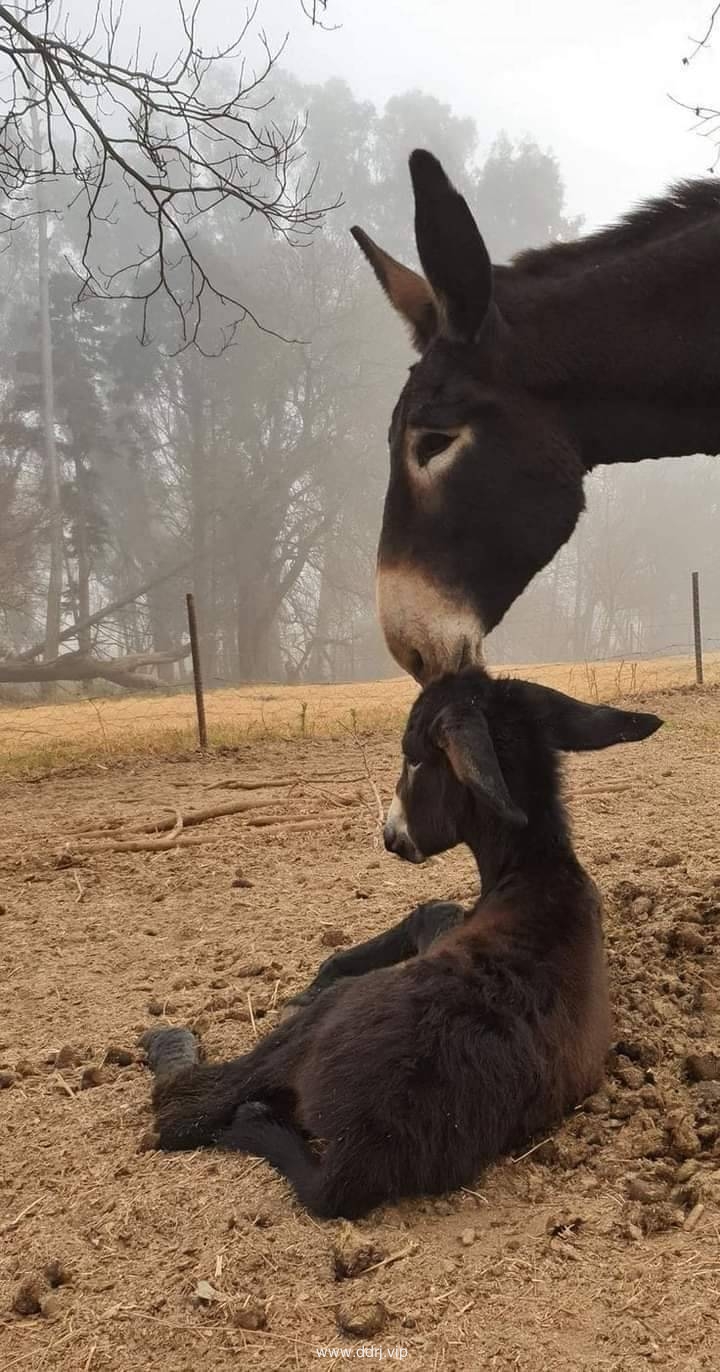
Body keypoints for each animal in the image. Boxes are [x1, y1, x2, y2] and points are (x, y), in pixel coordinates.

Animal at [141, 669, 663, 1218]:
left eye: (412, 757)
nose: (391, 838)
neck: (538, 873)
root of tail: (360, 1155)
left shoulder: (447, 928)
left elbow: (431, 908)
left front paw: (322, 973)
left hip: (323, 1022)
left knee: (186, 1109)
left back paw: (175, 1046)